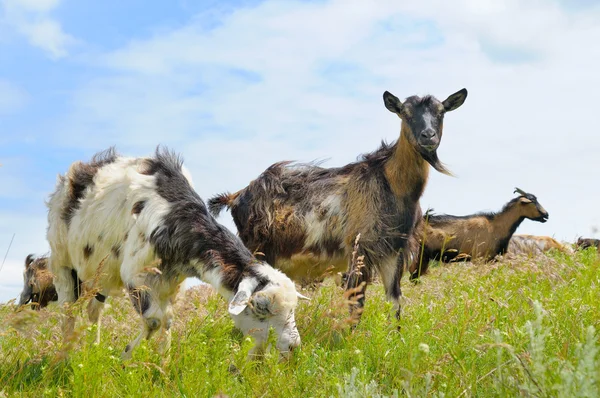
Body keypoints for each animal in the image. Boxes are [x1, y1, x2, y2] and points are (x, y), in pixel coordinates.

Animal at [46, 148, 308, 360]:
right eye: (261, 307)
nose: (292, 347)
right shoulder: (136, 275)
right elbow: (154, 320)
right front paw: (125, 358)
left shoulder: (170, 283)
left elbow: (167, 320)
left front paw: (163, 365)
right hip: (62, 261)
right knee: (68, 311)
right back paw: (64, 359)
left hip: (100, 273)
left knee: (94, 310)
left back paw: (93, 349)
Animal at [210, 88, 468, 322]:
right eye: (405, 113)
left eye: (441, 112)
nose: (428, 136)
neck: (391, 185)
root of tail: (236, 195)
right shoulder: (358, 246)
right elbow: (356, 302)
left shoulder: (393, 251)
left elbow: (395, 302)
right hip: (254, 249)